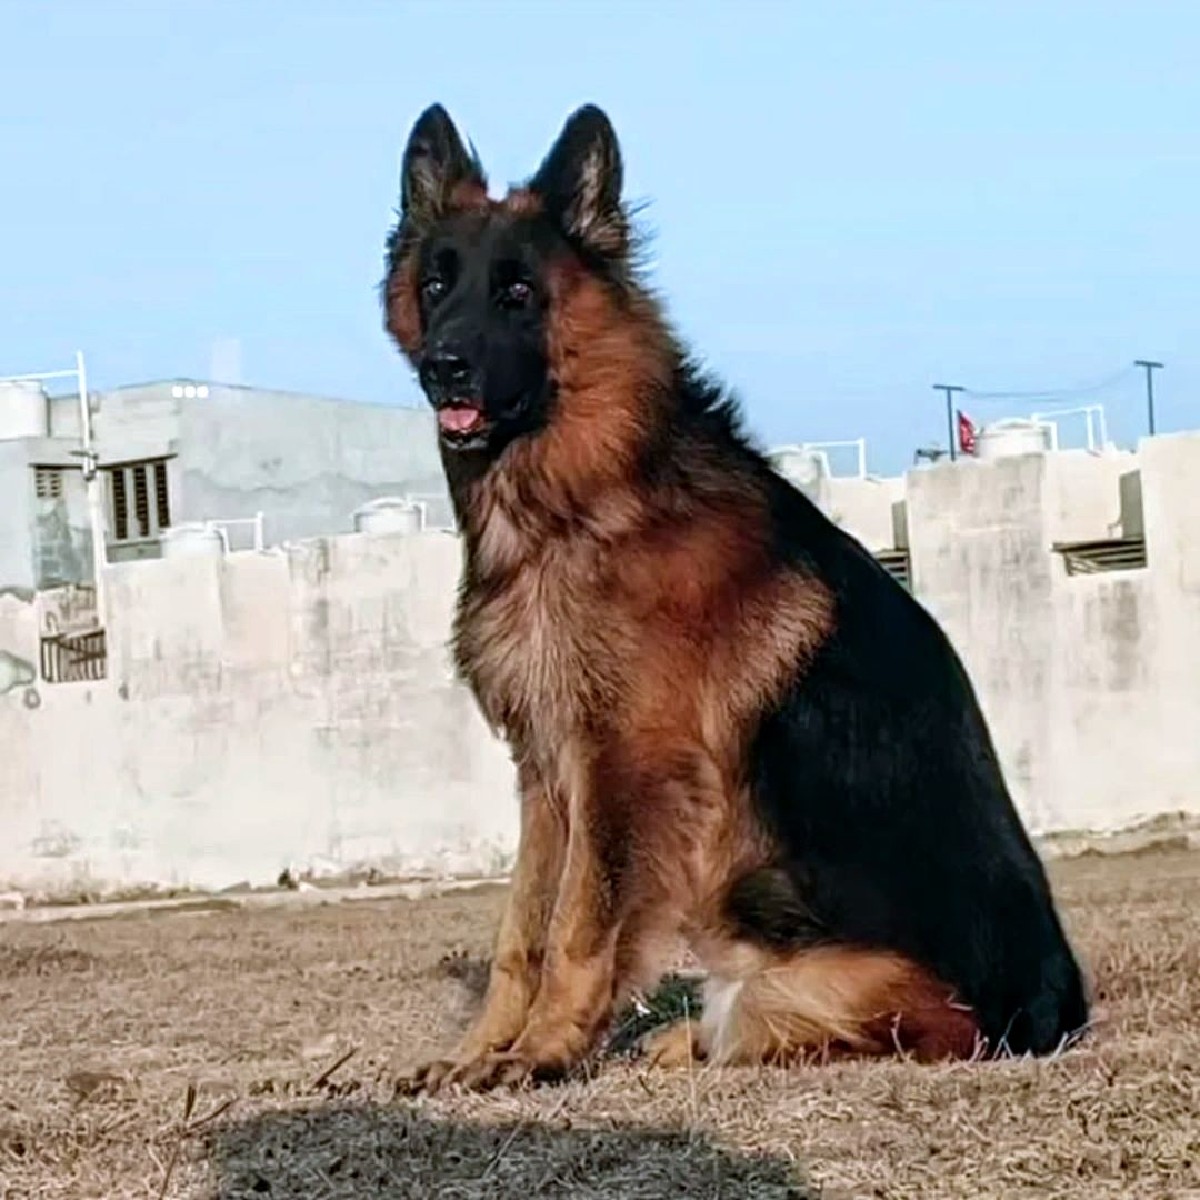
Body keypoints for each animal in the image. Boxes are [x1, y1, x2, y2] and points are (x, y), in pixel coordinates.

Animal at [382, 102, 1089, 1093]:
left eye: (517, 292)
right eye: (438, 284)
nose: (444, 366)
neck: (590, 499)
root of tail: (1057, 1011)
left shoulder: (623, 765)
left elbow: (579, 927)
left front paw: (545, 1050)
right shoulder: (547, 770)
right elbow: (522, 929)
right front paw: (483, 1052)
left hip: (820, 980)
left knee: (776, 1019)